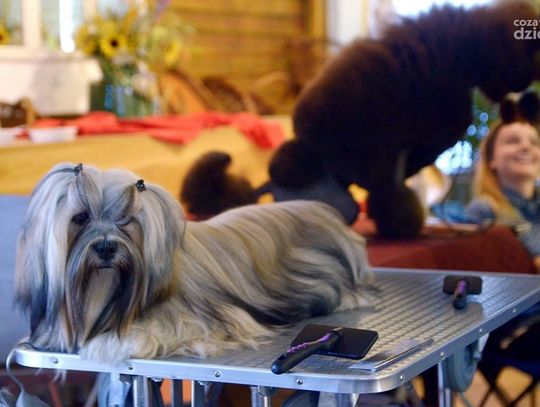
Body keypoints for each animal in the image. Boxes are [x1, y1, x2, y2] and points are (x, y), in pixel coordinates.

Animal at [15, 163, 371, 363]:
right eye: (81, 218)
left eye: (127, 221)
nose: (105, 248)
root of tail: (324, 213)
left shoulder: (192, 321)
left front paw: (112, 343)